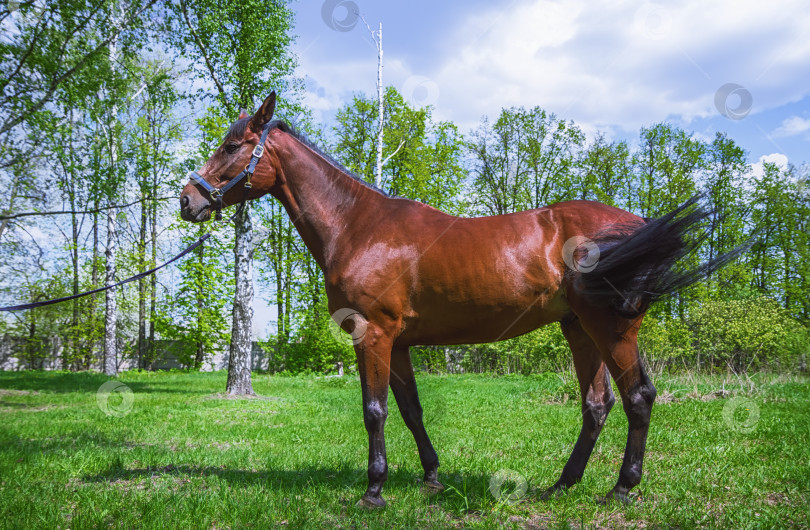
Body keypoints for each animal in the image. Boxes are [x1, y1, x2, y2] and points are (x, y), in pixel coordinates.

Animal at [178, 92, 740, 508]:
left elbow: (374, 410)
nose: (188, 200)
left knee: (638, 397)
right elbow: (410, 409)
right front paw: (430, 477)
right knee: (596, 405)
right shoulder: (398, 341)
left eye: (232, 145)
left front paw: (373, 491)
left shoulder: (372, 333)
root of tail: (633, 224)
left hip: (609, 328)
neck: (359, 226)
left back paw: (622, 488)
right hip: (580, 329)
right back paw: (562, 484)